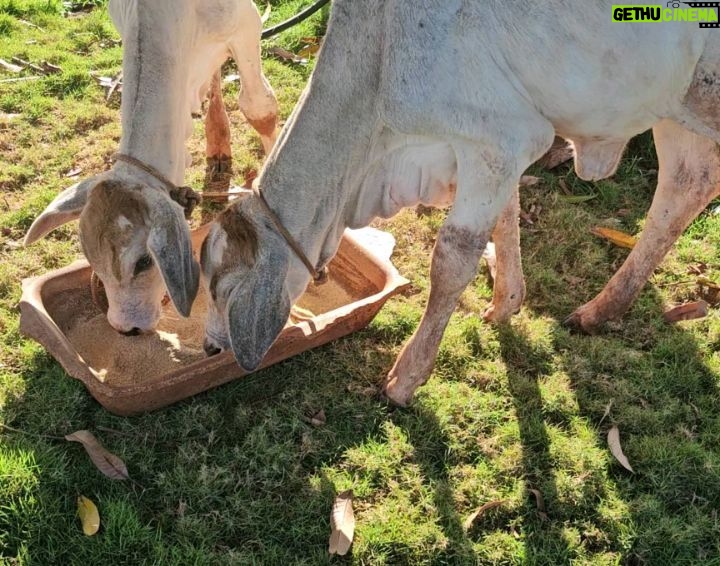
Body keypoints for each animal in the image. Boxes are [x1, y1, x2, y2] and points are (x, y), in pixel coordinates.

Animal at [200, 2, 720, 406]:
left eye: (222, 290)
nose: (208, 348)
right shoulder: (495, 149)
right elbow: (506, 217)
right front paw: (506, 301)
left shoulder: (501, 140)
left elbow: (451, 261)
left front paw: (405, 378)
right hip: (677, 104)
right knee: (687, 185)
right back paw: (604, 308)